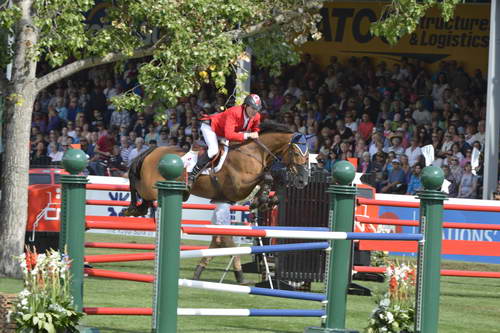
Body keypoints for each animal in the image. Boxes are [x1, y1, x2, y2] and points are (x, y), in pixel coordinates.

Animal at [123, 120, 310, 217]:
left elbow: (274, 179)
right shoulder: (238, 187)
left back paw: (134, 209)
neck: (253, 152)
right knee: (136, 187)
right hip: (150, 188)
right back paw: (131, 208)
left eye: (309, 154)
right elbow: (267, 177)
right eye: (295, 152)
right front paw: (260, 200)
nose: (303, 181)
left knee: (144, 200)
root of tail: (152, 151)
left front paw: (266, 201)